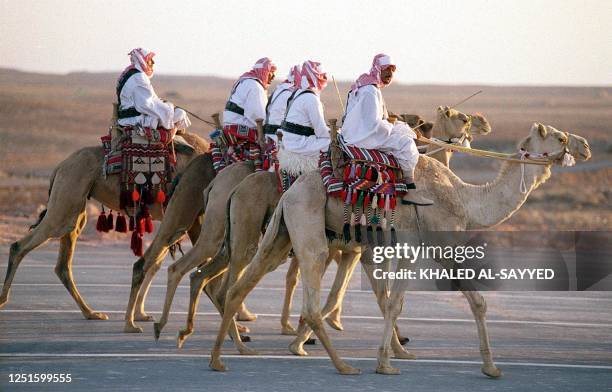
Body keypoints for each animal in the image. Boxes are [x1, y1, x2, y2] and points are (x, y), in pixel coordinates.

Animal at [0, 132, 210, 322]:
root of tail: (60, 166)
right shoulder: (188, 213)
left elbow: (157, 262)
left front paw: (140, 314)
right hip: (67, 196)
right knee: (21, 245)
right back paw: (3, 300)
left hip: (74, 204)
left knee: (63, 263)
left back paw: (91, 313)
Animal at [154, 106, 492, 346]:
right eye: (462, 118)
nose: (485, 124)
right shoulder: (351, 244)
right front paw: (309, 328)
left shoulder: (349, 245)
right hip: (221, 226)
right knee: (188, 267)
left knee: (203, 274)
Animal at [208, 124, 592, 376]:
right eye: (559, 137)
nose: (585, 146)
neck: (466, 199)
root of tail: (291, 190)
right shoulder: (443, 245)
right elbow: (477, 301)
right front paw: (491, 367)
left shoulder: (409, 249)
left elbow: (394, 301)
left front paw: (391, 357)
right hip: (307, 230)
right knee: (305, 297)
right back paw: (342, 365)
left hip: (281, 235)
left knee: (239, 286)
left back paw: (222, 358)